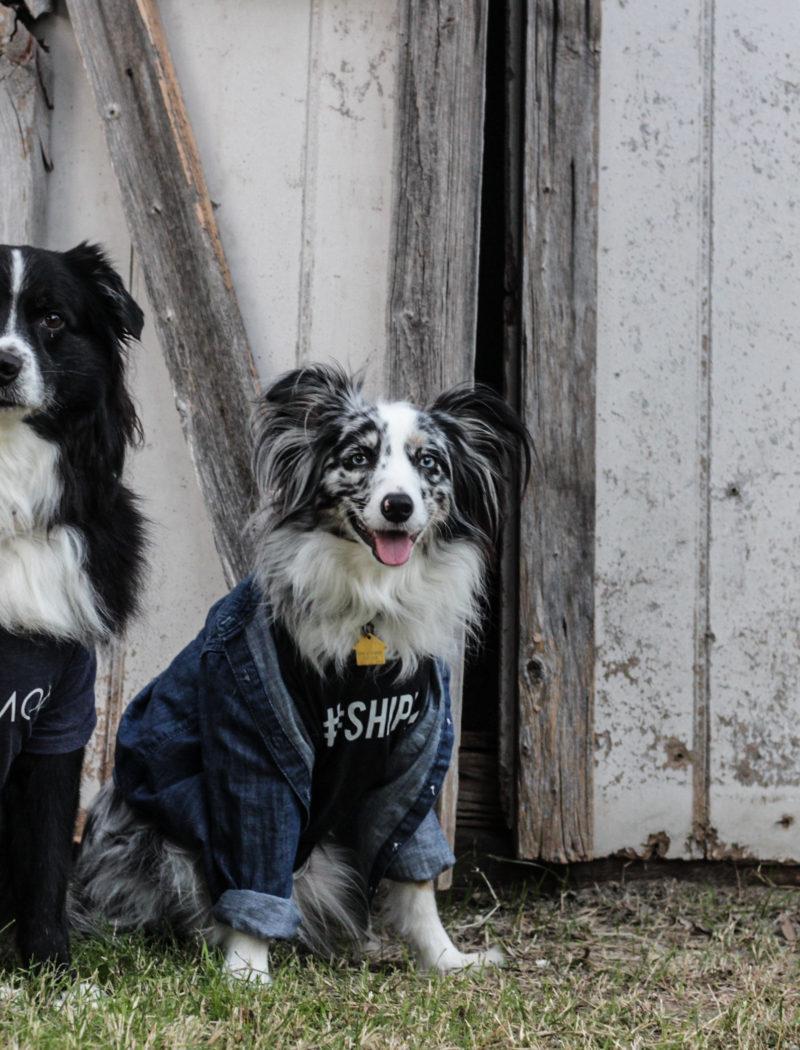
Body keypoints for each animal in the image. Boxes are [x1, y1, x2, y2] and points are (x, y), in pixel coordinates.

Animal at [73, 365, 522, 978]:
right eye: (358, 457)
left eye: (429, 462)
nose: (398, 506)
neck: (370, 611)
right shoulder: (254, 753)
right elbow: (256, 866)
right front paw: (246, 972)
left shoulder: (415, 754)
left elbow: (416, 875)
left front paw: (448, 959)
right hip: (153, 840)